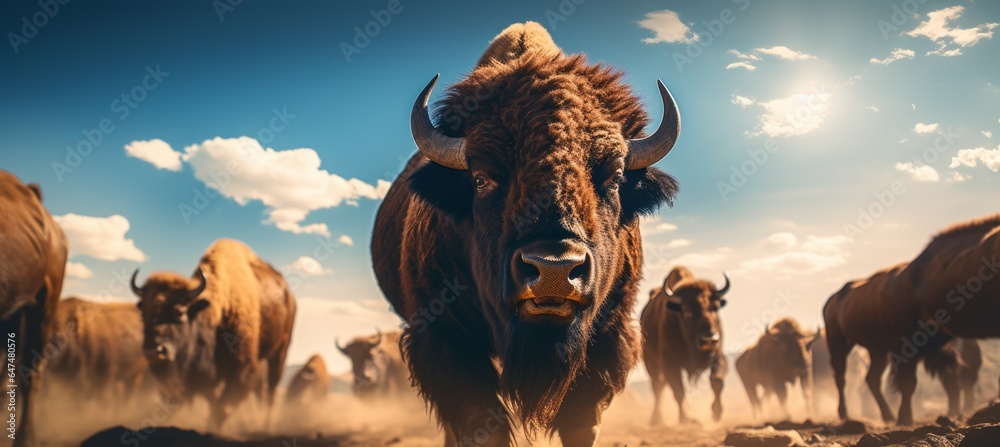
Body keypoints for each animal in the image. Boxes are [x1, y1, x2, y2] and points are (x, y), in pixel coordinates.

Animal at [131, 239, 296, 430]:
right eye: (143, 314)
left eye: (179, 312)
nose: (154, 352)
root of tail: (288, 294)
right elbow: (213, 402)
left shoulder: (242, 368)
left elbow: (222, 407)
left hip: (281, 350)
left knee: (271, 390)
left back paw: (265, 427)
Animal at [371, 21, 681, 446]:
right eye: (481, 179)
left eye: (615, 177)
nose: (553, 271)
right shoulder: (445, 337)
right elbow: (479, 420)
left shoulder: (608, 336)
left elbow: (581, 421)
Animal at [641, 266, 730, 426]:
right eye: (687, 311)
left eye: (714, 307)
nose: (709, 339)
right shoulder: (671, 364)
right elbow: (679, 391)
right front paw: (685, 420)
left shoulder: (717, 356)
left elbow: (717, 381)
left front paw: (716, 413)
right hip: (651, 363)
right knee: (657, 388)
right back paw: (656, 420)